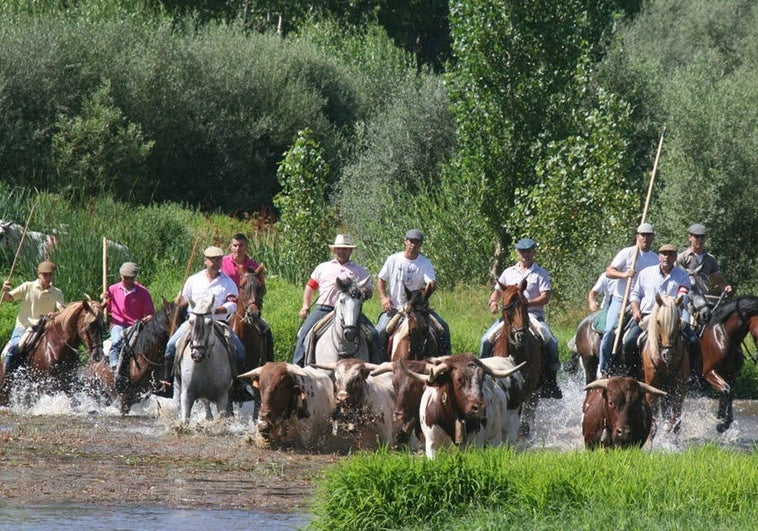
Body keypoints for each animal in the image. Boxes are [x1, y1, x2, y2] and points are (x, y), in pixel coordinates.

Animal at [174, 296, 236, 424]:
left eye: (210, 322)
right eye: (190, 321)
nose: (197, 354)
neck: (204, 364)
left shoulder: (222, 396)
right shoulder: (187, 394)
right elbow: (185, 420)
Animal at [490, 280, 544, 438]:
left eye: (526, 305)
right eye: (507, 307)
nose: (521, 335)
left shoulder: (529, 385)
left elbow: (526, 407)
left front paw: (523, 430)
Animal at [640, 296, 688, 436]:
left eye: (678, 322)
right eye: (658, 322)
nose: (668, 354)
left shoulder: (680, 389)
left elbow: (676, 420)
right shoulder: (651, 389)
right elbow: (653, 425)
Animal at [700, 296, 758, 432]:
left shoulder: (731, 375)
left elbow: (729, 394)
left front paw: (722, 419)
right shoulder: (709, 372)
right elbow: (727, 390)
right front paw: (723, 423)